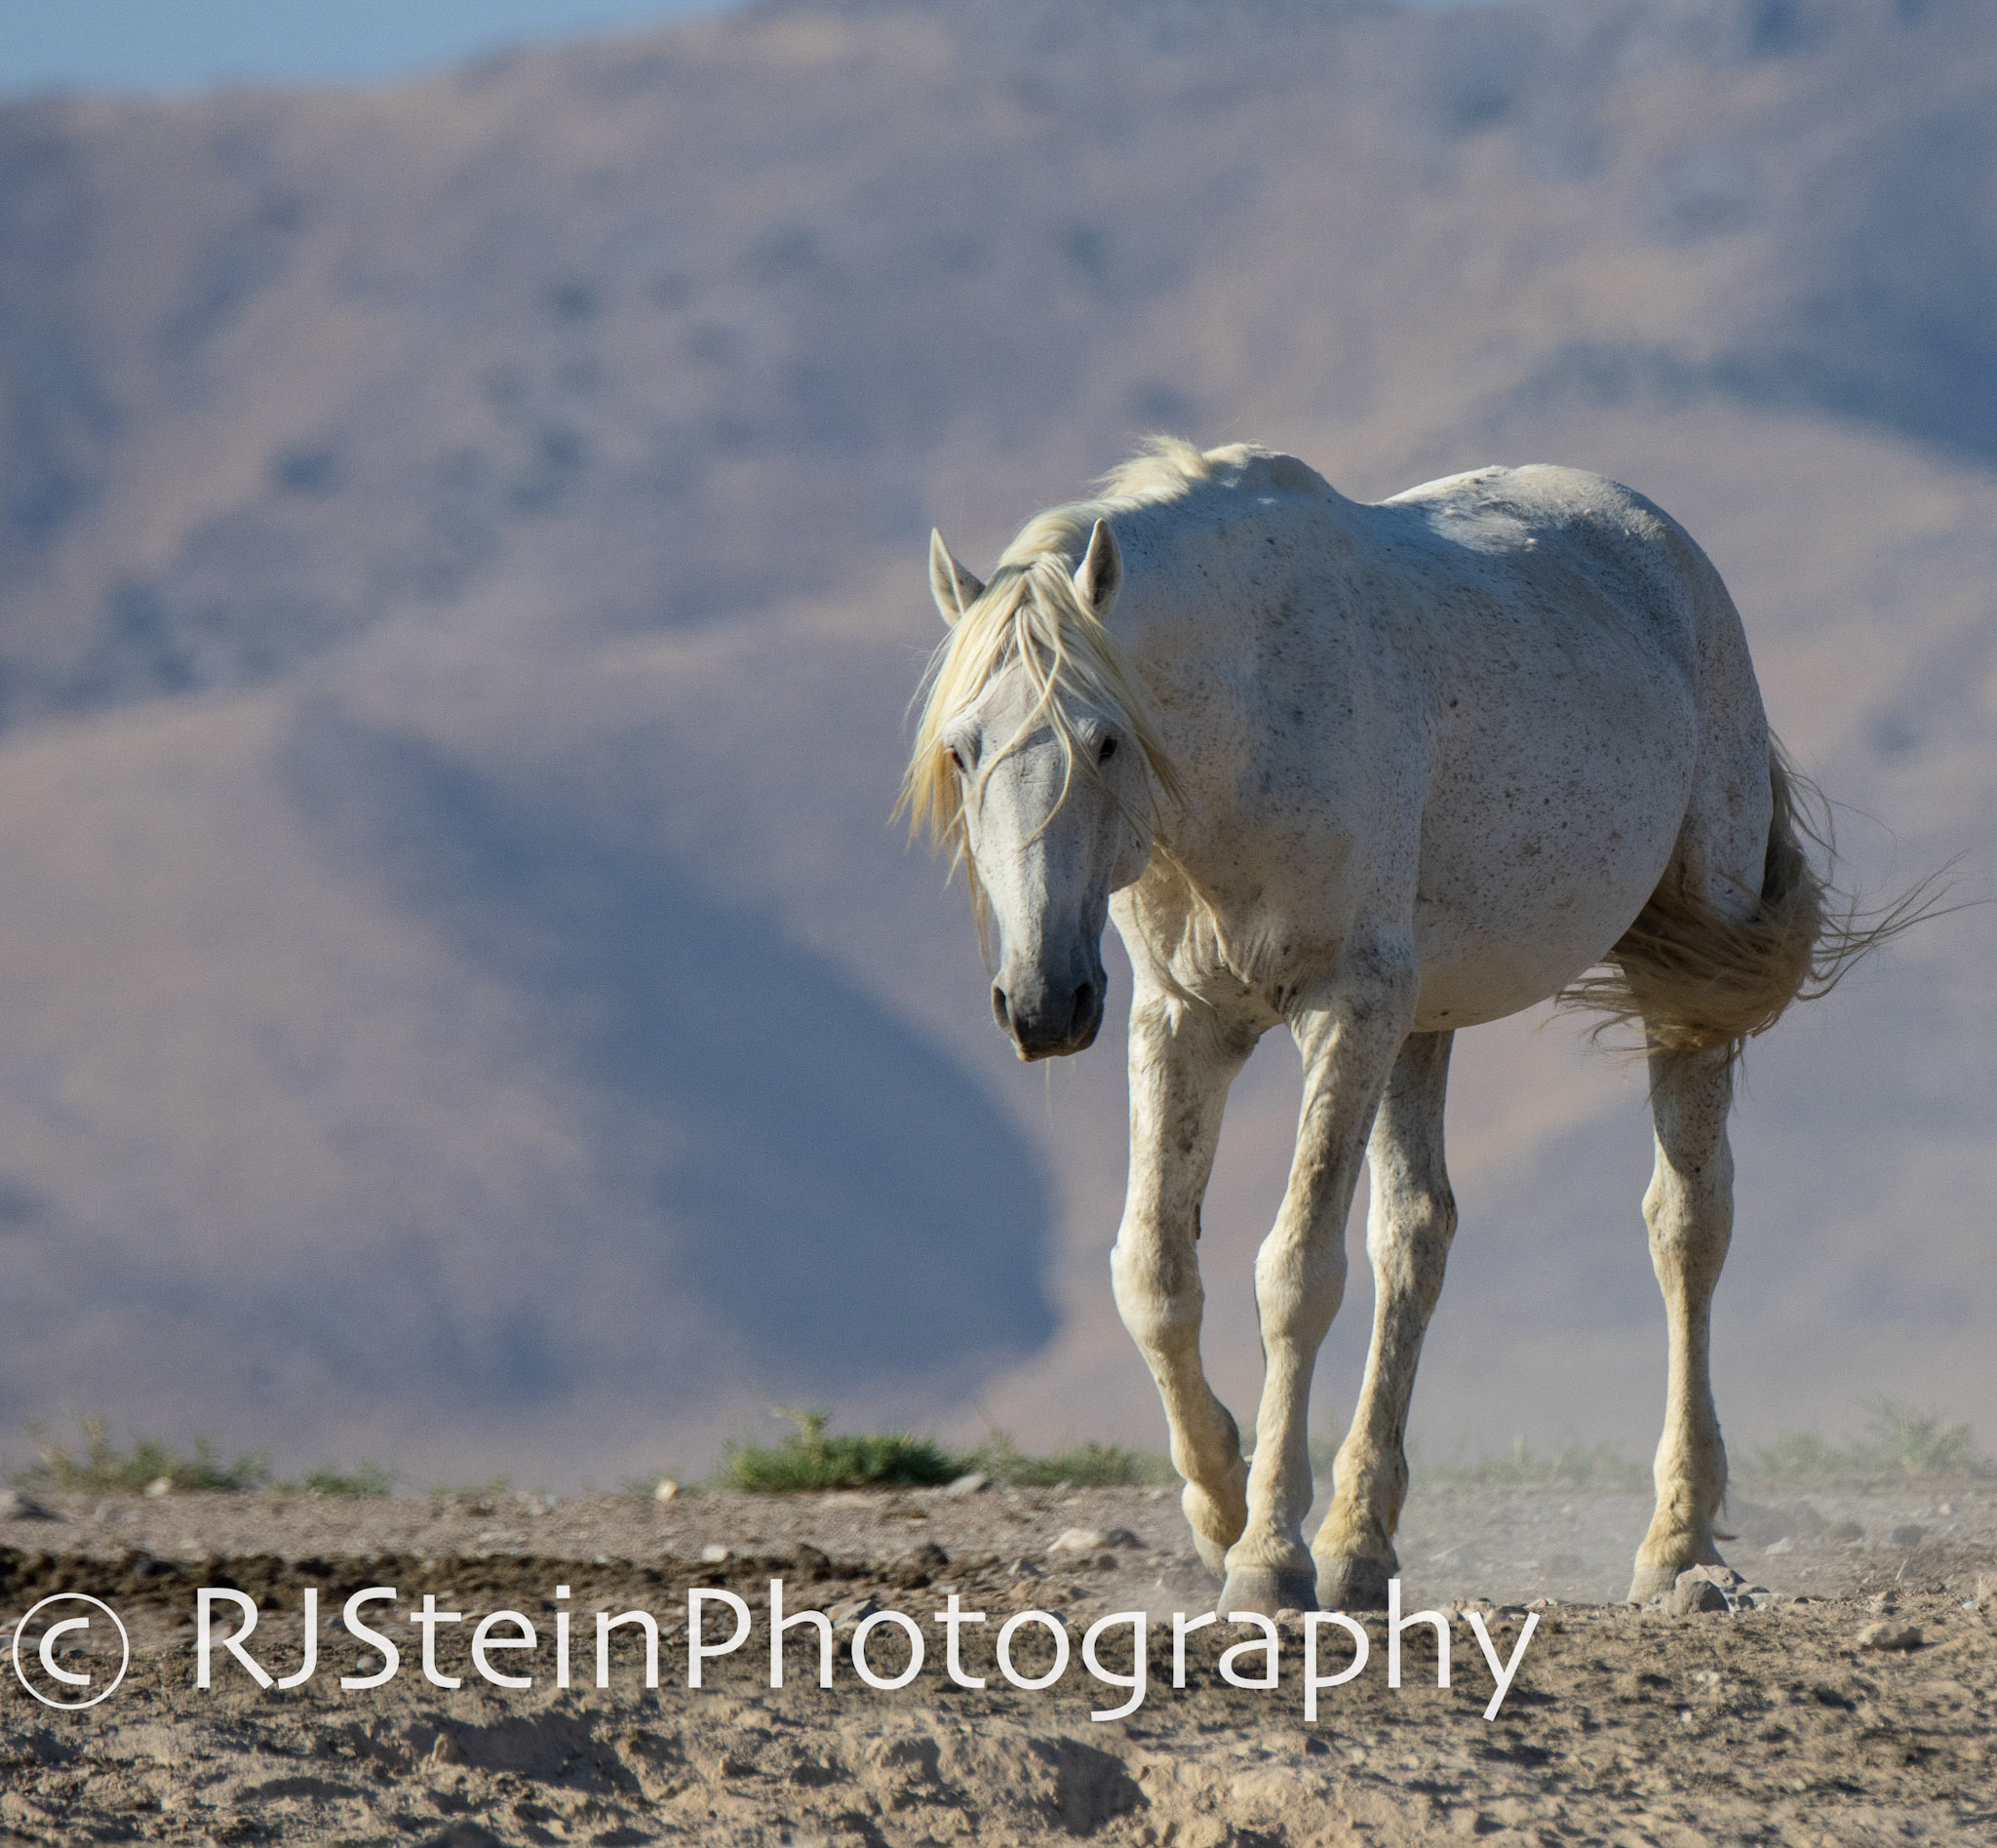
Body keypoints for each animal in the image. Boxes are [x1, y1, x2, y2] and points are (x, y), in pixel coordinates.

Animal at [906, 435, 1900, 1614]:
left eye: (1102, 741)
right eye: (962, 750)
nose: (1041, 1000)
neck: (1249, 722)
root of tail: (1661, 541)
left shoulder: (1346, 1006)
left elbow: (1295, 1273)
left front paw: (1266, 1556)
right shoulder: (1183, 1019)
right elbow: (1152, 1272)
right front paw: (1221, 1507)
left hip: (1669, 991)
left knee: (1687, 1228)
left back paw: (1676, 1541)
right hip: (1423, 1019)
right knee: (1416, 1237)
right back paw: (1360, 1539)